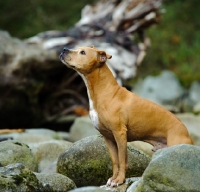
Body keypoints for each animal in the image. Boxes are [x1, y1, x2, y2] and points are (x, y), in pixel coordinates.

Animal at [59, 45, 194, 187]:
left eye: (82, 52)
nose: (64, 49)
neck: (105, 92)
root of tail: (186, 133)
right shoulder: (108, 137)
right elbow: (115, 161)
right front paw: (113, 179)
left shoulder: (120, 133)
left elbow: (122, 160)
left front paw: (119, 180)